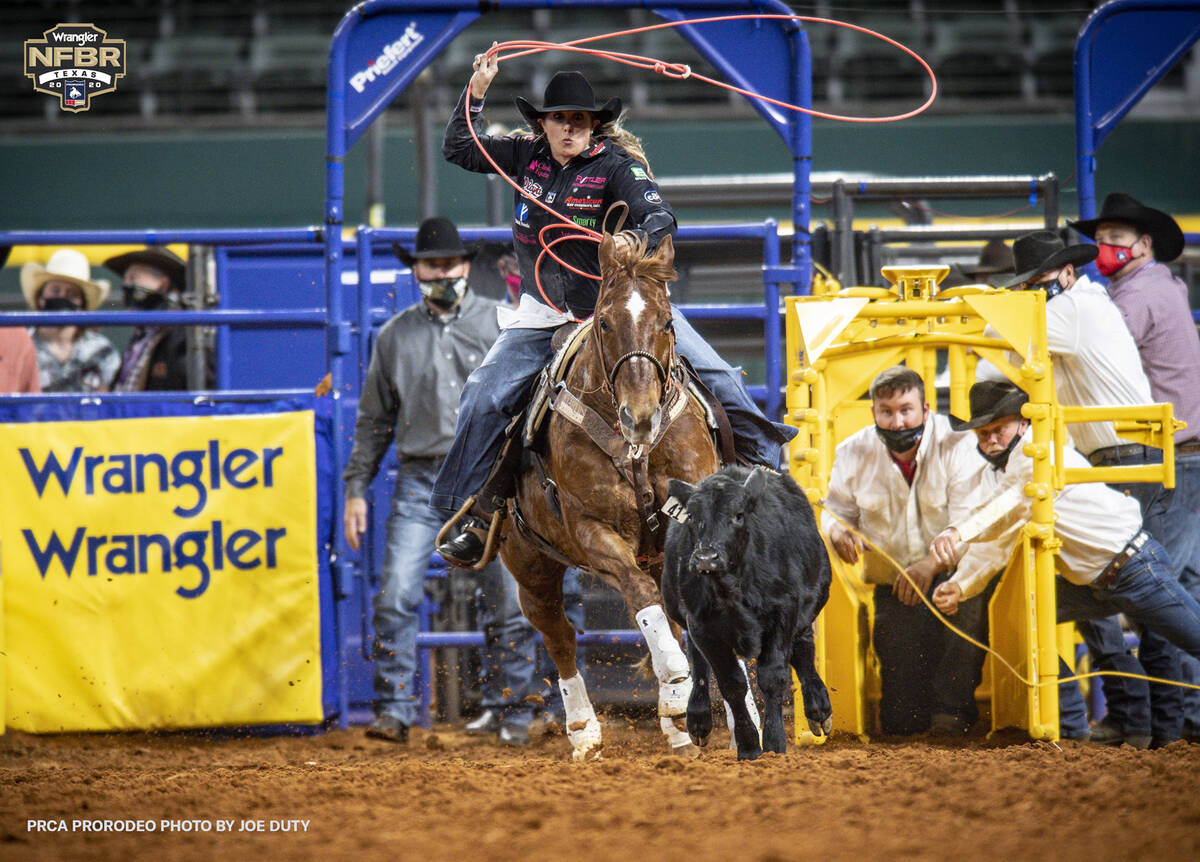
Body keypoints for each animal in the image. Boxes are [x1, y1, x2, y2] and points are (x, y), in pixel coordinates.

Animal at [499, 231, 715, 763]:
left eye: (666, 321)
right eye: (604, 322)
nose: (641, 417)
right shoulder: (593, 529)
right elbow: (639, 594)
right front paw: (676, 687)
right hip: (530, 567)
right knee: (560, 636)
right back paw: (584, 730)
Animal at [662, 468, 830, 758]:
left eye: (738, 514)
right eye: (692, 516)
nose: (706, 558)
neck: (731, 588)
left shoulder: (784, 612)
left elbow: (772, 676)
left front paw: (774, 743)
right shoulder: (702, 625)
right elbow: (731, 683)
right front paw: (749, 745)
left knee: (804, 648)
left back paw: (819, 708)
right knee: (697, 658)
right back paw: (698, 719)